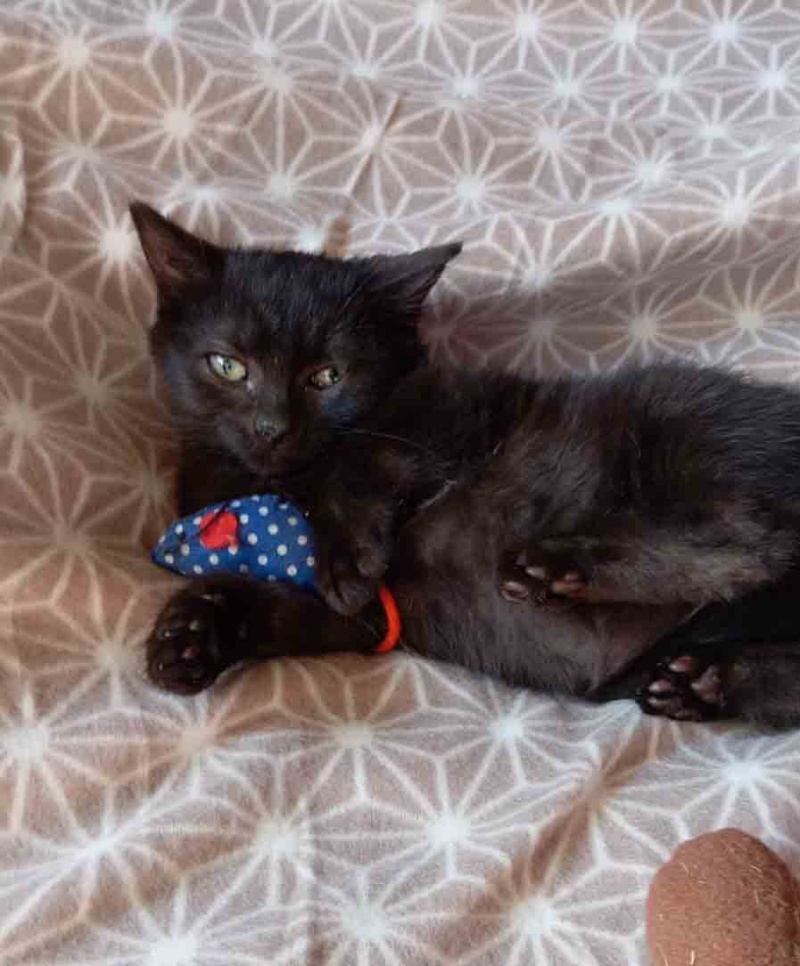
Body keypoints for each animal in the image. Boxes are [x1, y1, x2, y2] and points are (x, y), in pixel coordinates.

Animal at [130, 201, 800, 729]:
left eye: (326, 376)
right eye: (227, 366)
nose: (271, 427)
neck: (279, 482)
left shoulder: (460, 417)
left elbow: (364, 458)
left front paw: (344, 558)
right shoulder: (374, 621)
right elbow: (279, 606)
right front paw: (193, 634)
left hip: (681, 426)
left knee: (748, 539)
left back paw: (556, 566)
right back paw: (705, 682)